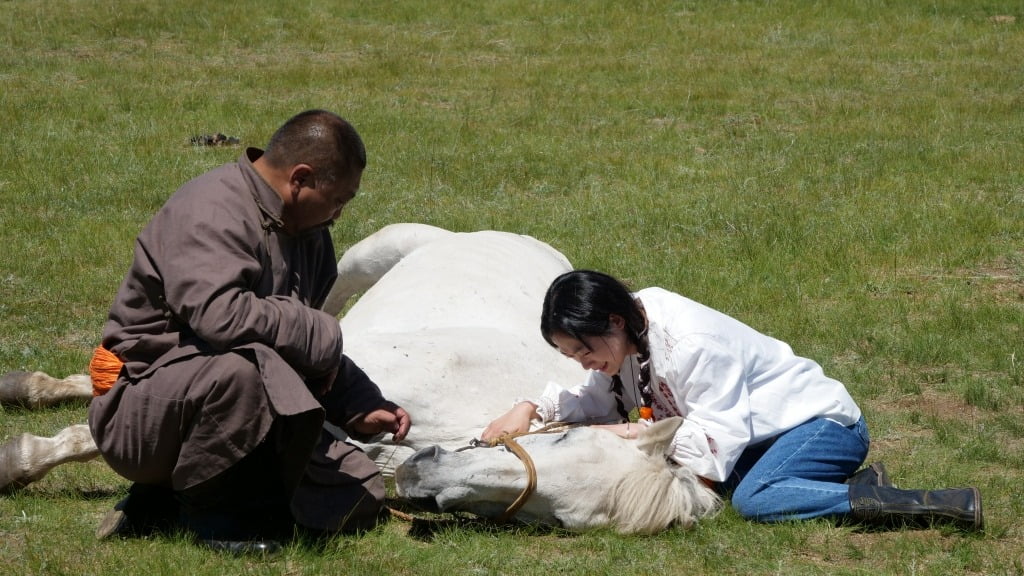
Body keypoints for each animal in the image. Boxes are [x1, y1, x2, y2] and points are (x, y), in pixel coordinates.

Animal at [2, 222, 720, 532]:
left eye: (559, 518)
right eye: (564, 439)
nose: (427, 475)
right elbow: (94, 434)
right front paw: (19, 460)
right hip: (357, 261)